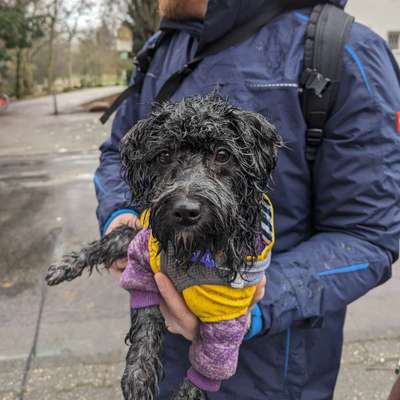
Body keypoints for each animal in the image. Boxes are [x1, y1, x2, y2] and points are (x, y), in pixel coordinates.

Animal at [45, 95, 280, 398]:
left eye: (222, 154)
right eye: (165, 155)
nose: (185, 211)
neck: (193, 249)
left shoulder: (228, 317)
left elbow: (206, 369)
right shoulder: (145, 263)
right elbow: (146, 315)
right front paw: (139, 373)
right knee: (112, 239)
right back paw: (66, 264)